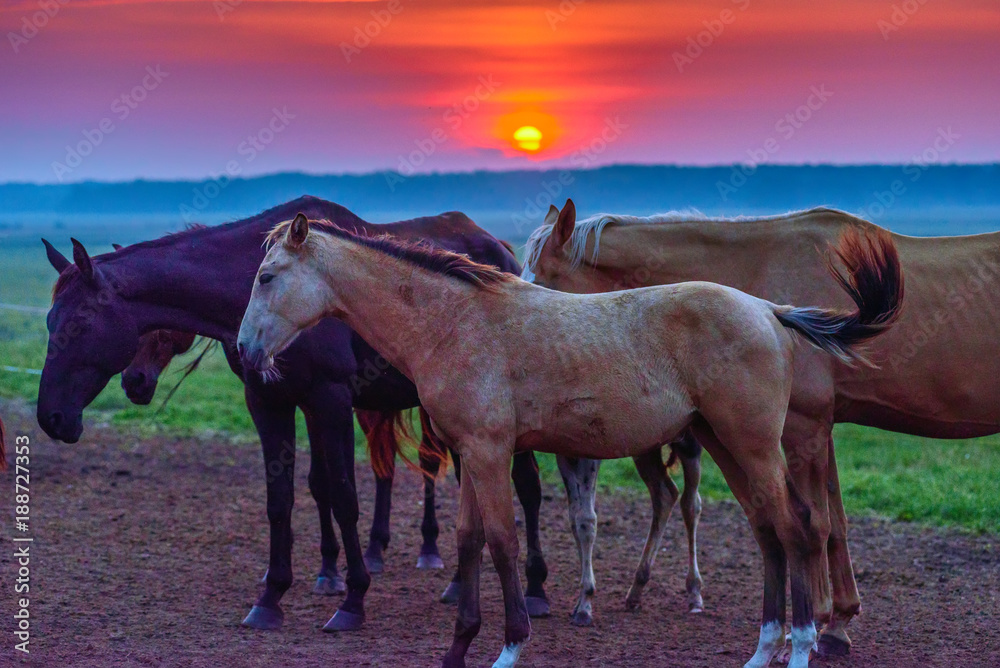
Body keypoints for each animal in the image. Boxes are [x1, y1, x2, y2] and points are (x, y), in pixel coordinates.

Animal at [36, 196, 551, 633]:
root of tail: (500, 254)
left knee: (525, 485)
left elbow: (343, 495)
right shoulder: (269, 401)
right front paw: (272, 597)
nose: (51, 418)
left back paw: (536, 590)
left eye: (79, 322)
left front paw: (352, 599)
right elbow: (282, 497)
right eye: (49, 320)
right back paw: (459, 585)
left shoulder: (330, 399)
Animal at [236, 210, 903, 668]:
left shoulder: (490, 453)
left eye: (267, 277)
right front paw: (458, 649)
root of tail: (768, 311)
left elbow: (503, 543)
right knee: (769, 531)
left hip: (753, 446)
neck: (455, 323)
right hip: (723, 444)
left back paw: (801, 647)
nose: (244, 350)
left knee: (795, 527)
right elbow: (468, 543)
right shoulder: (470, 454)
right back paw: (763, 650)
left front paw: (510, 646)